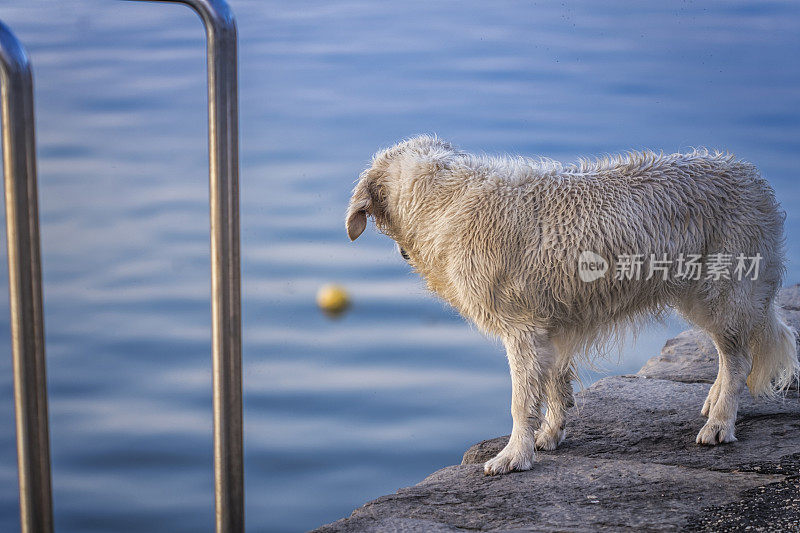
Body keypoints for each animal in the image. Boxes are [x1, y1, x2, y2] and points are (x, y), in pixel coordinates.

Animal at [346, 136, 800, 474]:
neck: (442, 200)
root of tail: (749, 173)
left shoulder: (522, 330)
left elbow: (521, 401)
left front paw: (514, 456)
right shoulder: (548, 327)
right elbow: (553, 387)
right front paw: (550, 435)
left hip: (723, 290)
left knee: (739, 358)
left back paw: (720, 422)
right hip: (700, 296)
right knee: (730, 354)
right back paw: (713, 401)